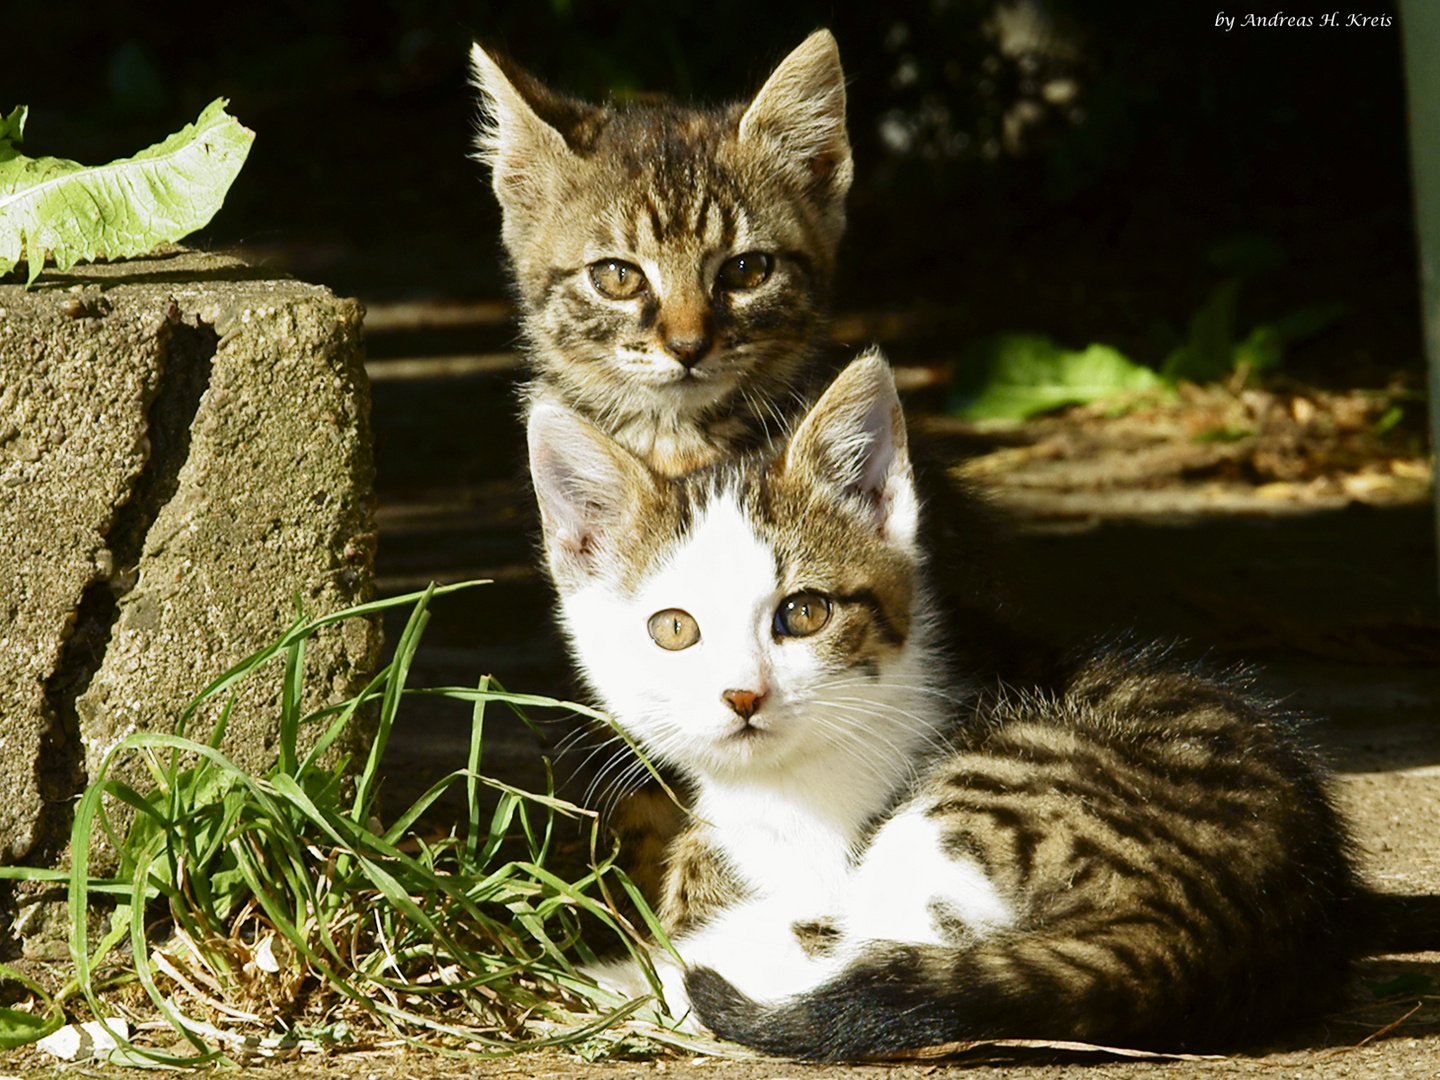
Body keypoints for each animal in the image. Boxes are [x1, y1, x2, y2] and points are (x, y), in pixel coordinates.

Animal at [529, 352, 1359, 1059]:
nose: (743, 695)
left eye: (804, 613)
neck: (780, 787)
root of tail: (1207, 928)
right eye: (674, 629)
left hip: (985, 796)